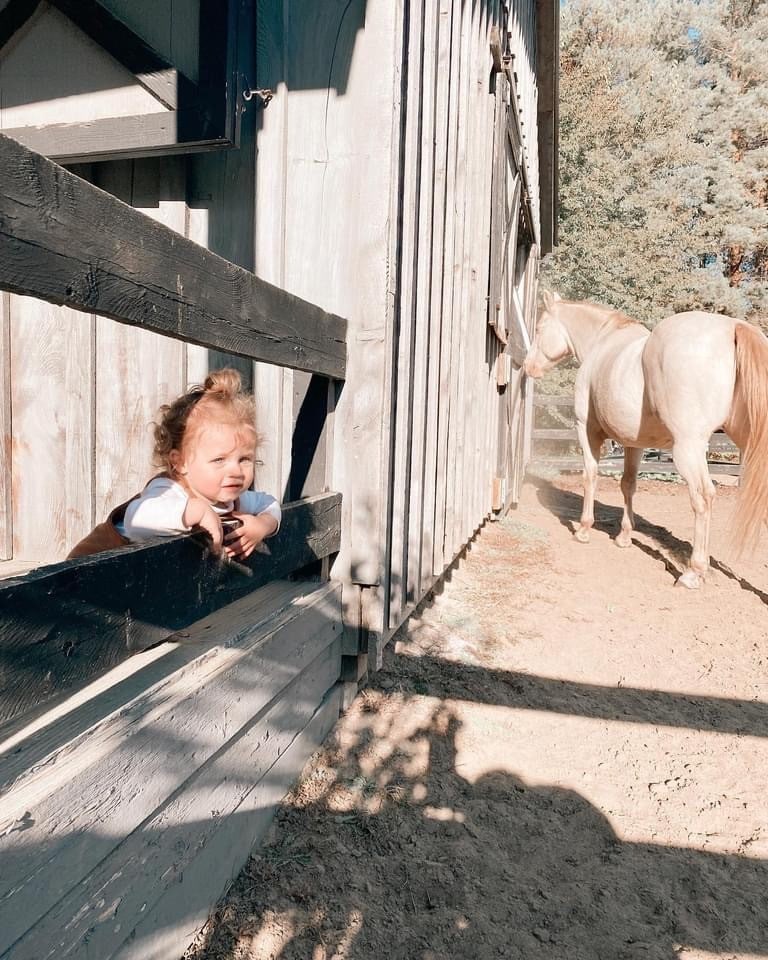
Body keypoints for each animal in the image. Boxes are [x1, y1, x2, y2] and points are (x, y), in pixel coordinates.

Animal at [524, 292, 768, 588]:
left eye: (539, 329)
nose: (528, 367)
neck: (602, 341)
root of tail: (734, 327)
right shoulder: (633, 443)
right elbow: (628, 484)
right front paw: (624, 537)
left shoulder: (587, 429)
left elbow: (590, 475)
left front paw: (583, 529)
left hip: (689, 448)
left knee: (703, 497)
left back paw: (693, 572)